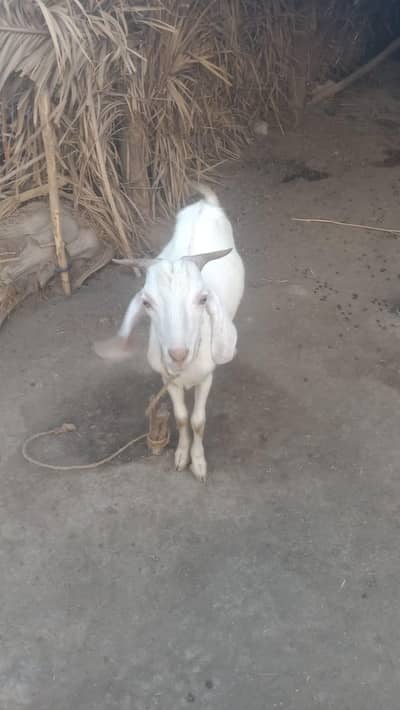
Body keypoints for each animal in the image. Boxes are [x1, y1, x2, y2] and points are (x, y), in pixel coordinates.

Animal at [94, 184, 245, 481]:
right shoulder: (168, 378)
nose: (177, 354)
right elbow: (182, 418)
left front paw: (198, 463)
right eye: (146, 303)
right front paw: (181, 456)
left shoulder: (206, 376)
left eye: (202, 299)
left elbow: (198, 421)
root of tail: (204, 204)